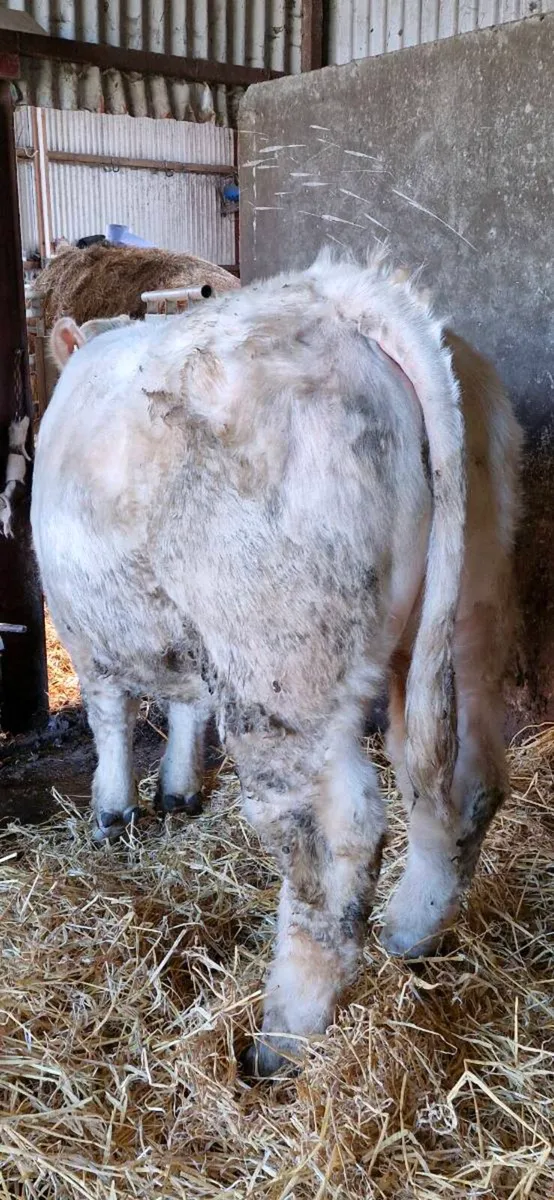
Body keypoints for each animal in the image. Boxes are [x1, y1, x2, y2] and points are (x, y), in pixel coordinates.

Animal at [31, 252, 522, 1075]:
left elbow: (111, 718)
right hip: (468, 617)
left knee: (335, 838)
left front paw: (112, 812)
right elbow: (186, 706)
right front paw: (177, 791)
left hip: (278, 667)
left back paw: (283, 1036)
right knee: (464, 777)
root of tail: (346, 297)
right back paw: (412, 934)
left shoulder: (86, 631)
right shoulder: (187, 643)